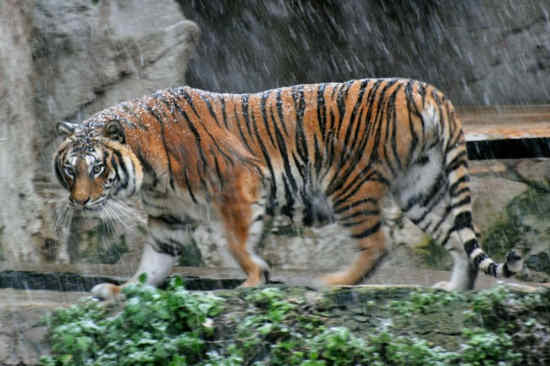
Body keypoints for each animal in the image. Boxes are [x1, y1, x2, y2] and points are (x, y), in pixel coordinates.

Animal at [54, 78, 524, 298]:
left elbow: (237, 243)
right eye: (69, 171)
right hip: (420, 190)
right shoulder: (169, 217)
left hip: (347, 181)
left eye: (98, 169)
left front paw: (254, 279)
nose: (80, 202)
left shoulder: (238, 184)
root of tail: (427, 90)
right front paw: (120, 292)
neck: (148, 170)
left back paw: (331, 283)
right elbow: (151, 264)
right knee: (457, 238)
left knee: (378, 244)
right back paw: (455, 290)